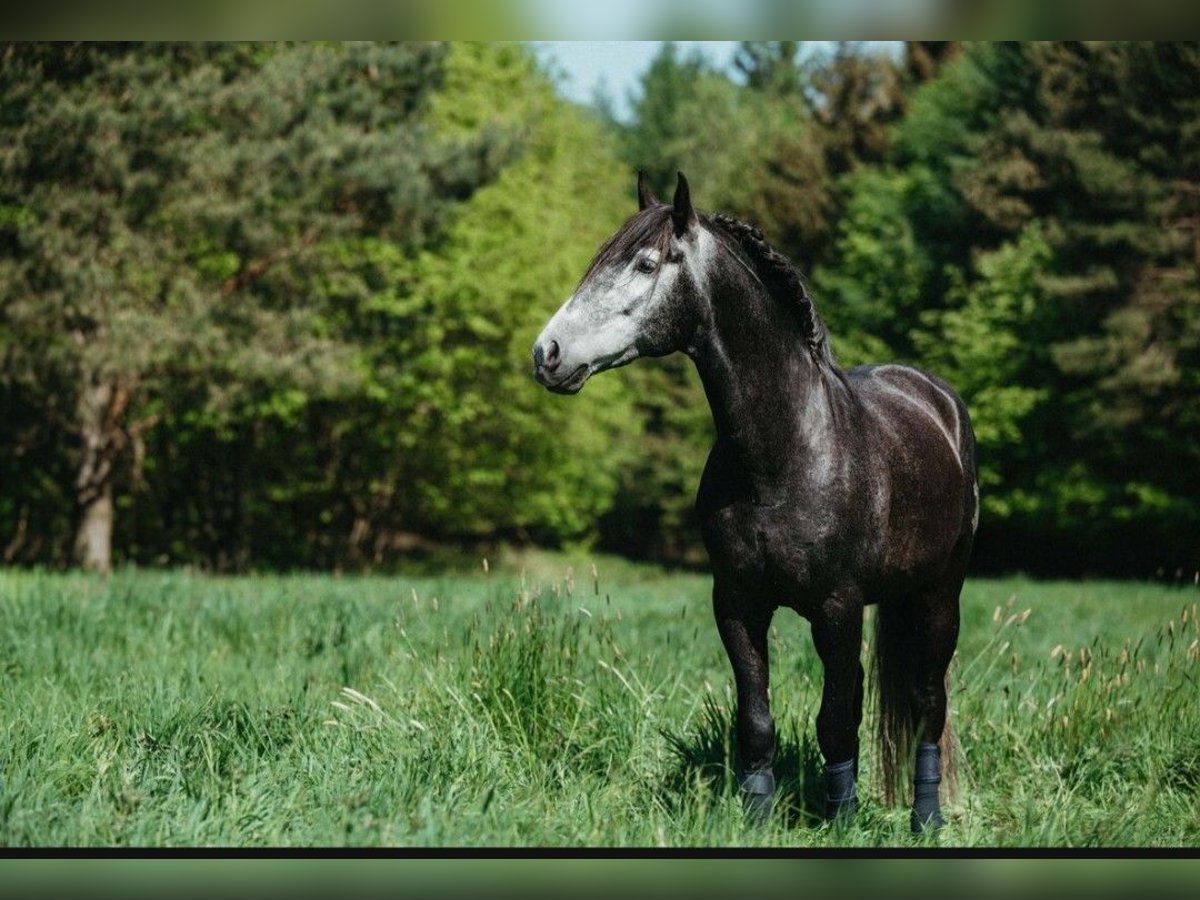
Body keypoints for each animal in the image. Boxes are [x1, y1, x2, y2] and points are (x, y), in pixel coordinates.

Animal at [532, 172, 978, 833]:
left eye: (644, 264)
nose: (547, 353)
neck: (785, 453)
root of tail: (937, 400)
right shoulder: (738, 605)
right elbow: (758, 720)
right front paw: (760, 815)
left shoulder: (837, 609)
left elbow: (835, 720)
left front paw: (839, 820)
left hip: (938, 594)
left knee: (928, 701)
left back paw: (926, 819)